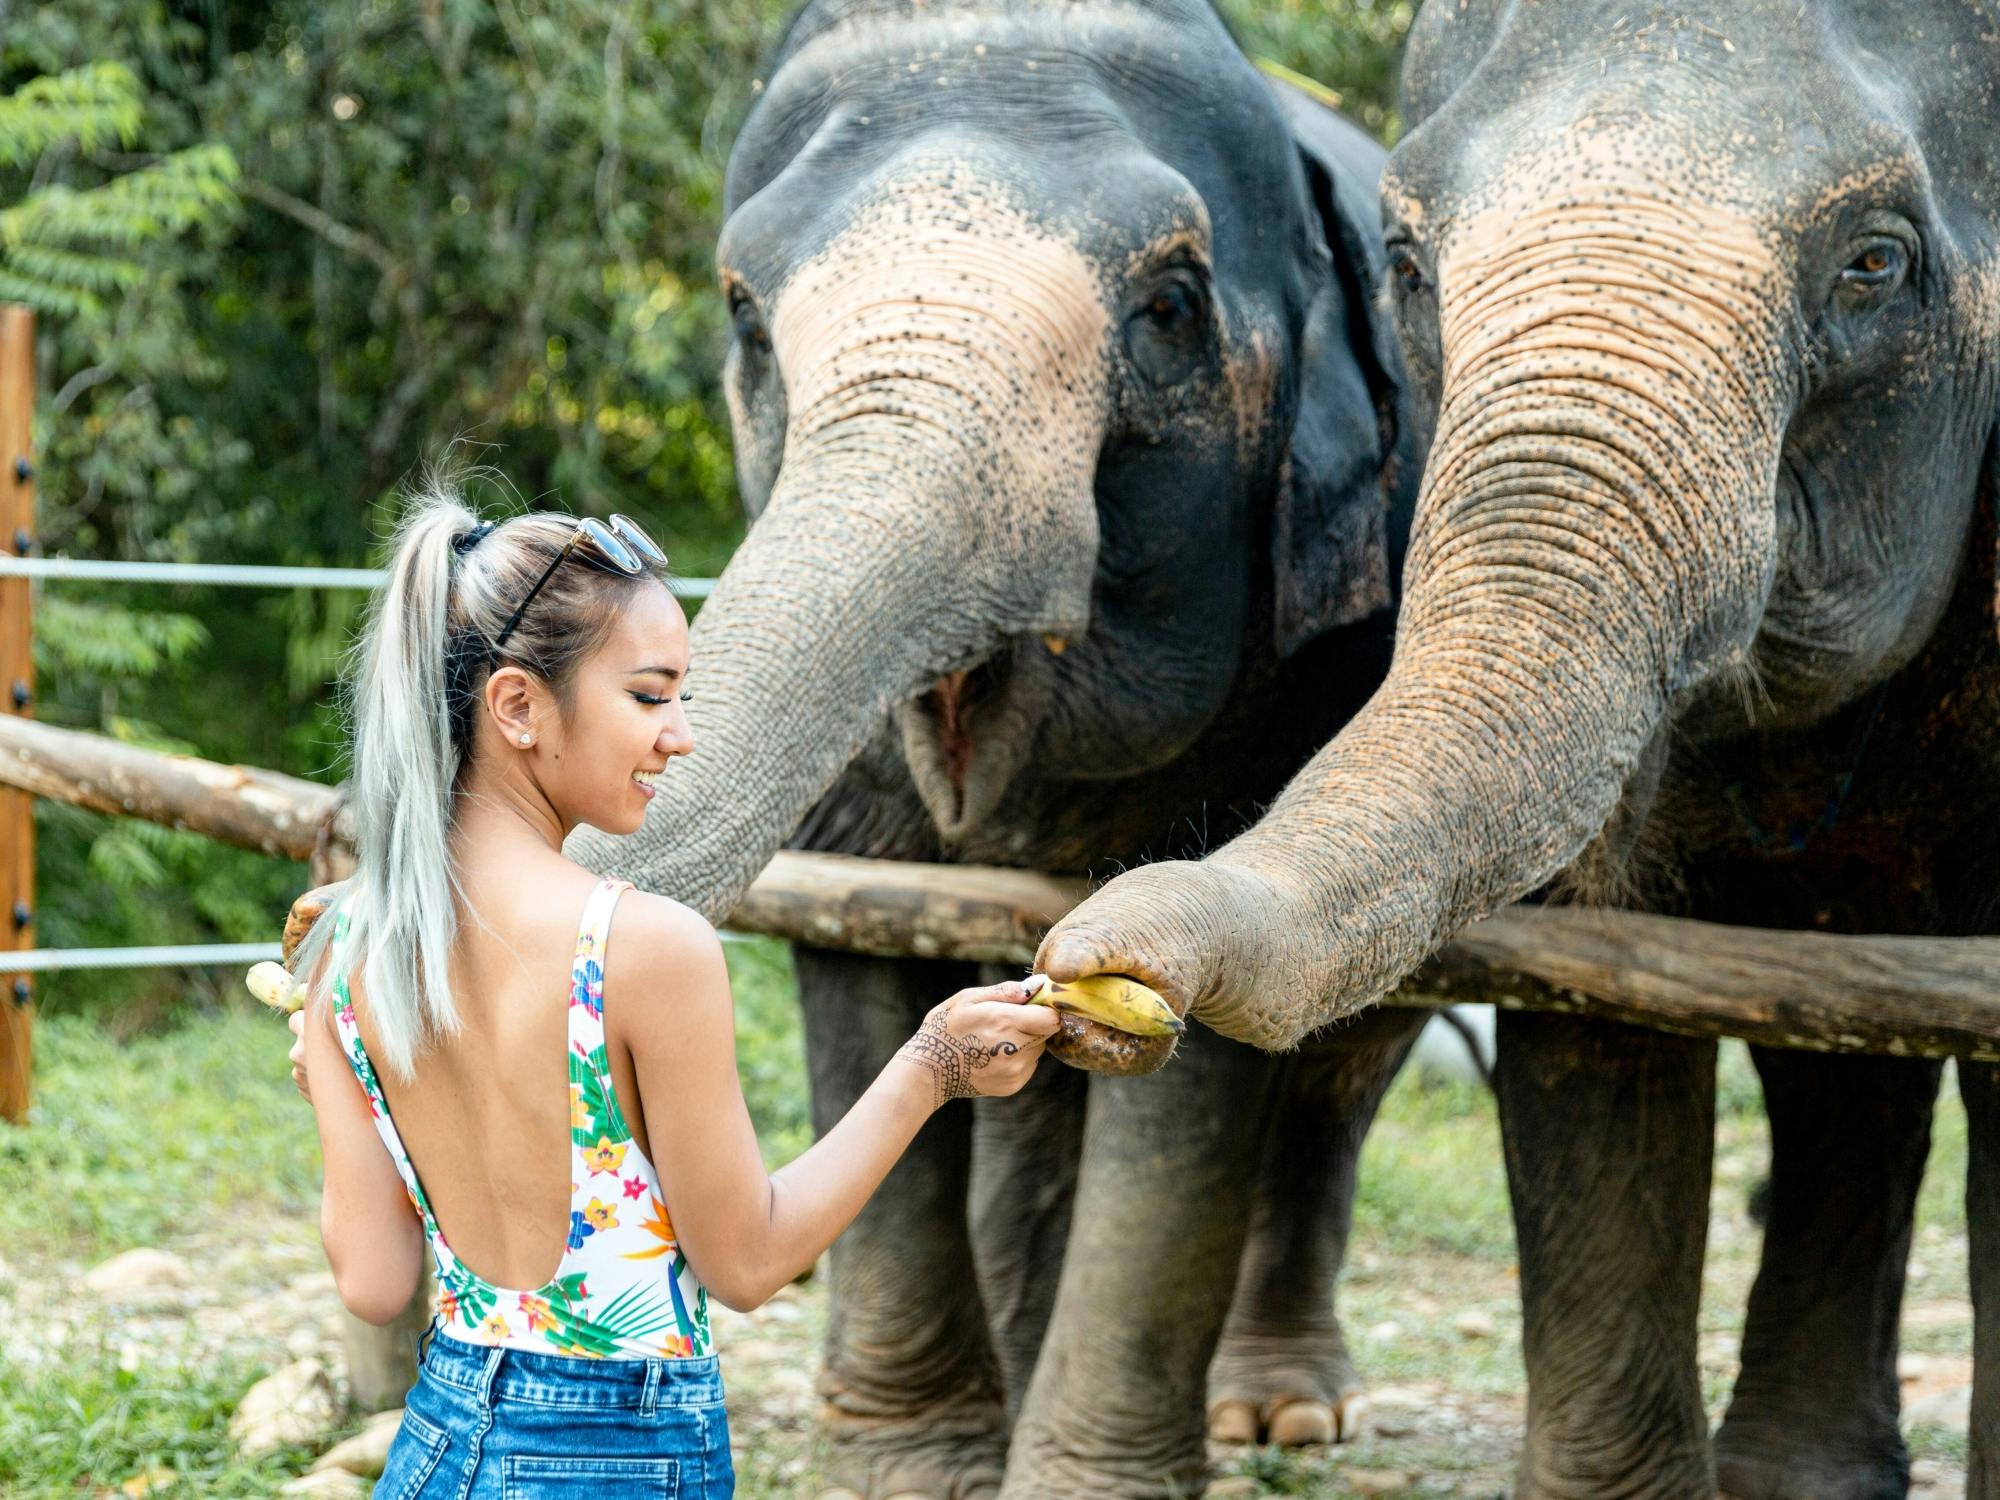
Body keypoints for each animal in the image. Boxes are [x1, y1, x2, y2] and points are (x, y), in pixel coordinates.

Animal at [556, 2, 1440, 1500]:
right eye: (743, 315)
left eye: (1170, 308)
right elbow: (854, 954)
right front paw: (921, 1468)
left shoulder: (1308, 661)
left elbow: (1202, 1045)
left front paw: (1087, 1477)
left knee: (1345, 1068)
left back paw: (1275, 1414)